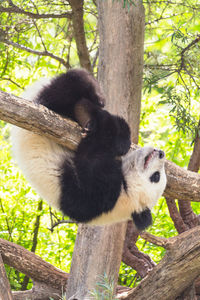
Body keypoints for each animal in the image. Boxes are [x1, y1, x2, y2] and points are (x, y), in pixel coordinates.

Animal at [11, 69, 167, 230]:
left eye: (156, 176)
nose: (161, 153)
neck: (126, 193)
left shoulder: (95, 197)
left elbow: (90, 158)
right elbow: (117, 127)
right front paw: (120, 141)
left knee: (57, 93)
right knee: (74, 85)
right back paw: (93, 98)